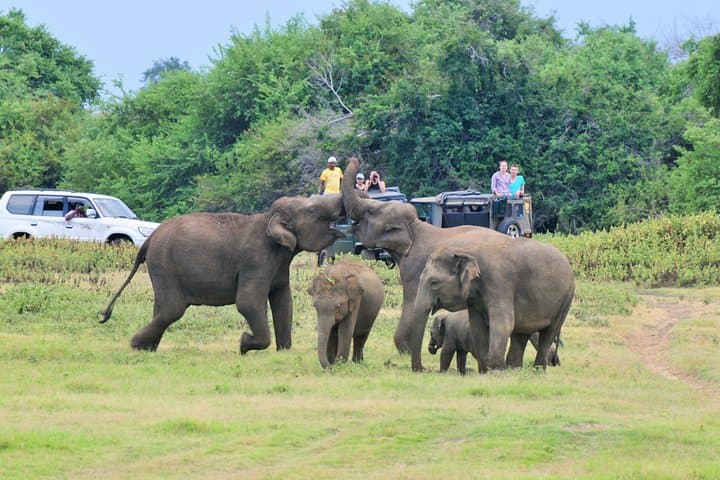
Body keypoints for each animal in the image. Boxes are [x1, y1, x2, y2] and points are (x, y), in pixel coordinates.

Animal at [100, 194, 345, 353]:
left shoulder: (279, 265)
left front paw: (284, 352)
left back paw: (147, 348)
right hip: (165, 266)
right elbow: (248, 303)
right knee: (172, 310)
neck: (268, 218)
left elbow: (284, 302)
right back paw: (135, 345)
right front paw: (244, 344)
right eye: (312, 210)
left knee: (162, 309)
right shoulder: (256, 261)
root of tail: (149, 239)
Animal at [342, 157, 544, 371]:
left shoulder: (415, 265)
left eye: (370, 211)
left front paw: (404, 349)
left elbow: (412, 300)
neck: (416, 227)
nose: (355, 159)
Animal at [429, 310, 560, 374]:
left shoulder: (450, 333)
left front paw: (442, 373)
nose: (431, 348)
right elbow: (461, 354)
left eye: (431, 333)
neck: (445, 315)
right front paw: (461, 373)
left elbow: (447, 351)